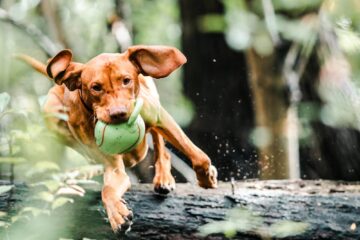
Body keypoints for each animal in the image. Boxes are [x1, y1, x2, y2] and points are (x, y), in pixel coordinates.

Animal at [21, 45, 218, 232]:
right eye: (96, 87)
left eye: (126, 80)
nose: (119, 114)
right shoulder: (113, 166)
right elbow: (108, 189)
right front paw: (117, 214)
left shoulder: (160, 118)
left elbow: (199, 157)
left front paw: (206, 178)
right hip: (51, 112)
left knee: (159, 143)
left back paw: (163, 177)